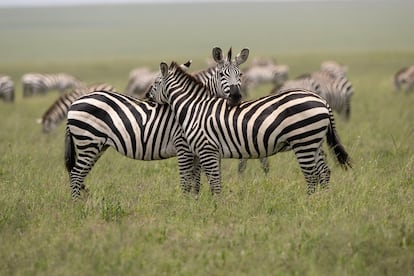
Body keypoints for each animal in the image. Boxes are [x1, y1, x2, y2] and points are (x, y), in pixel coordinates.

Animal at [147, 61, 350, 196]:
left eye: (156, 83)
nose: (147, 96)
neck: (195, 108)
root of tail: (321, 100)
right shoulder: (209, 151)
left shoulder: (207, 149)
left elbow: (214, 183)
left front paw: (216, 209)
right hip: (314, 141)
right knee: (324, 171)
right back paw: (322, 200)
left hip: (304, 141)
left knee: (312, 176)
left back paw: (308, 204)